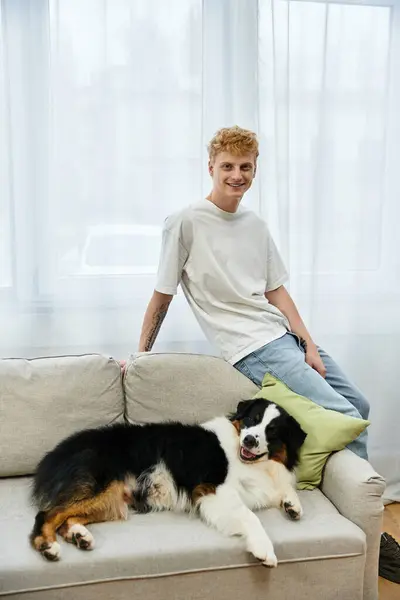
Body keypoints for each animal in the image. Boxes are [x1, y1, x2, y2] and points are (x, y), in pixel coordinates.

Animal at [31, 398, 306, 568]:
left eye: (272, 431)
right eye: (251, 419)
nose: (249, 440)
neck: (252, 462)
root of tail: (55, 454)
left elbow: (285, 487)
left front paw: (292, 505)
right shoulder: (214, 489)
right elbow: (250, 516)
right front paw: (264, 549)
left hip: (112, 499)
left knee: (67, 517)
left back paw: (80, 536)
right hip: (101, 484)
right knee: (48, 513)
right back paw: (48, 546)